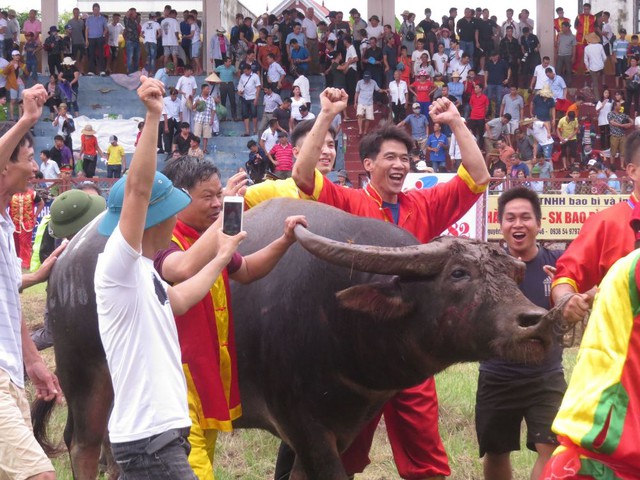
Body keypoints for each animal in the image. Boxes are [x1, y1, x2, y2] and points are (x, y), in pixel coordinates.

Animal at [32, 197, 556, 478]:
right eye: (459, 274)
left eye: (511, 274)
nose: (536, 321)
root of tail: (68, 257)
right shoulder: (302, 424)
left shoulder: (337, 427)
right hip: (84, 377)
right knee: (83, 443)